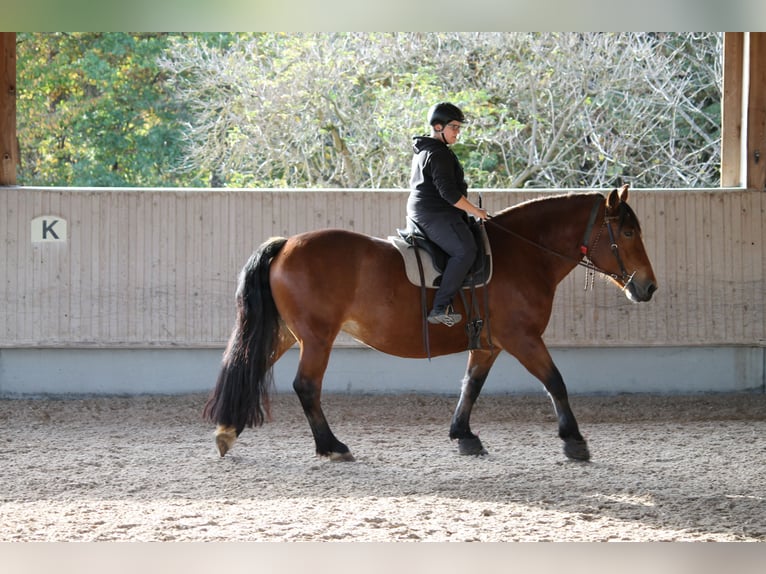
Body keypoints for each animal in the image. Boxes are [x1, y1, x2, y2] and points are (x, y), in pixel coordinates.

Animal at [203, 184, 657, 463]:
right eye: (627, 232)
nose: (648, 287)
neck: (523, 253)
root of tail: (285, 246)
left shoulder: (490, 343)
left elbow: (471, 385)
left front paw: (464, 435)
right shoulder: (523, 338)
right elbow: (556, 382)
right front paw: (574, 441)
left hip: (285, 333)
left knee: (250, 369)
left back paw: (227, 431)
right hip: (316, 337)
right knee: (306, 386)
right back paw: (332, 446)